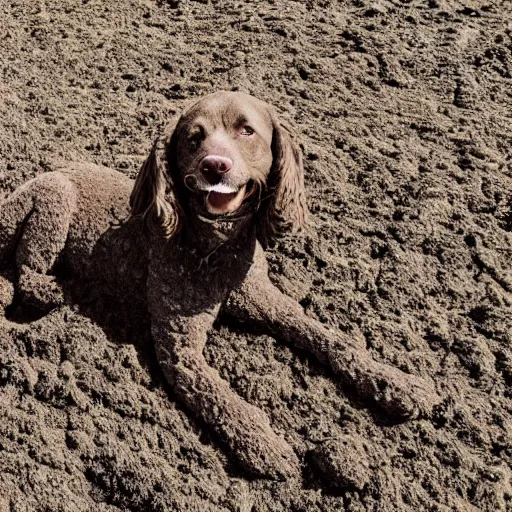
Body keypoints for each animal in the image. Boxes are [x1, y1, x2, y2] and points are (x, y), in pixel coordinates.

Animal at [1, 91, 440, 480]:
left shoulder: (265, 299)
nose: (215, 166)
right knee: (25, 269)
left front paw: (393, 380)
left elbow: (329, 337)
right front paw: (263, 444)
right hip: (53, 201)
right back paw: (51, 291)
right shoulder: (180, 346)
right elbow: (221, 398)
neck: (216, 249)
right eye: (193, 137)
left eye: (247, 131)